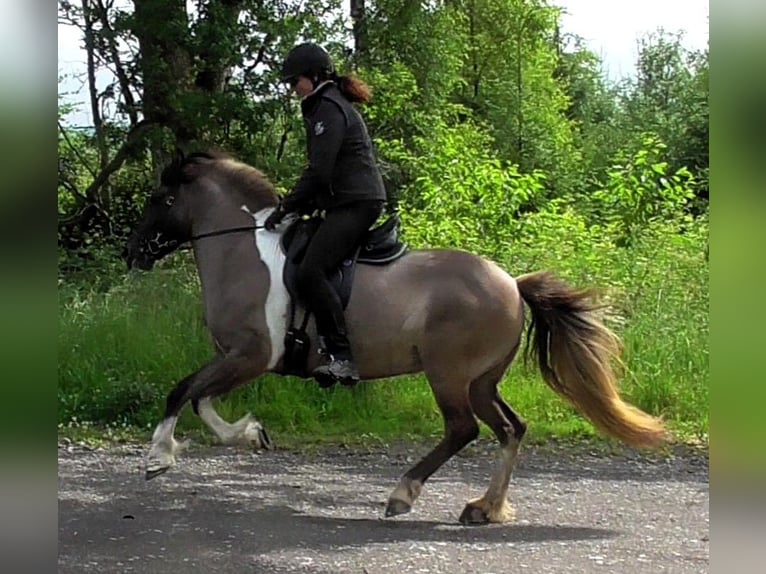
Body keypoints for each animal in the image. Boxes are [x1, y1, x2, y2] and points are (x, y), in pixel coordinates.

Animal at [123, 149, 669, 525]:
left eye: (160, 199)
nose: (134, 251)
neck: (243, 253)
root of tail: (512, 284)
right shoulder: (238, 358)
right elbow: (200, 399)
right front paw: (251, 433)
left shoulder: (251, 355)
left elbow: (182, 391)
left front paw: (158, 458)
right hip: (481, 380)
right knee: (510, 428)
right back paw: (485, 507)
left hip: (448, 374)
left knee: (463, 430)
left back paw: (403, 494)